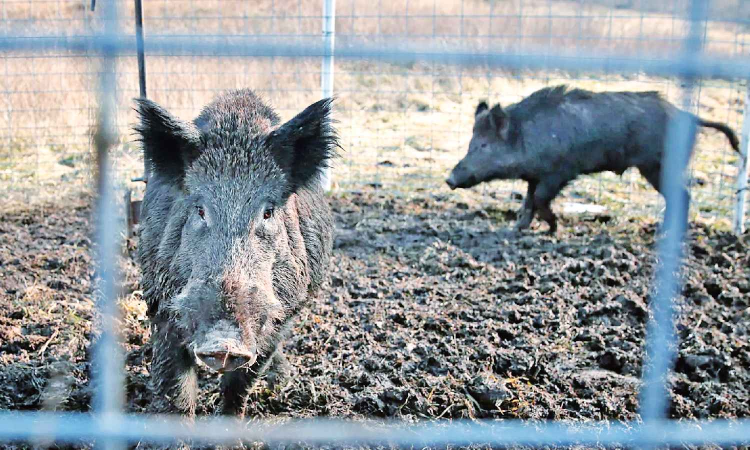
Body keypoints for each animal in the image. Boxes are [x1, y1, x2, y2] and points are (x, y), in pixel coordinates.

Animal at [135, 89, 338, 418]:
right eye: (200, 209)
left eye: (268, 212)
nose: (224, 342)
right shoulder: (161, 303)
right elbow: (177, 393)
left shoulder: (281, 316)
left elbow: (239, 386)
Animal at [445, 85, 740, 233]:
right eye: (470, 143)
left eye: (483, 145)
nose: (449, 179)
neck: (528, 136)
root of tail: (689, 116)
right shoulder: (535, 175)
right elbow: (528, 203)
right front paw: (516, 229)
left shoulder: (560, 172)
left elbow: (539, 200)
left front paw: (553, 229)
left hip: (659, 165)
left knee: (683, 195)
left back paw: (665, 232)